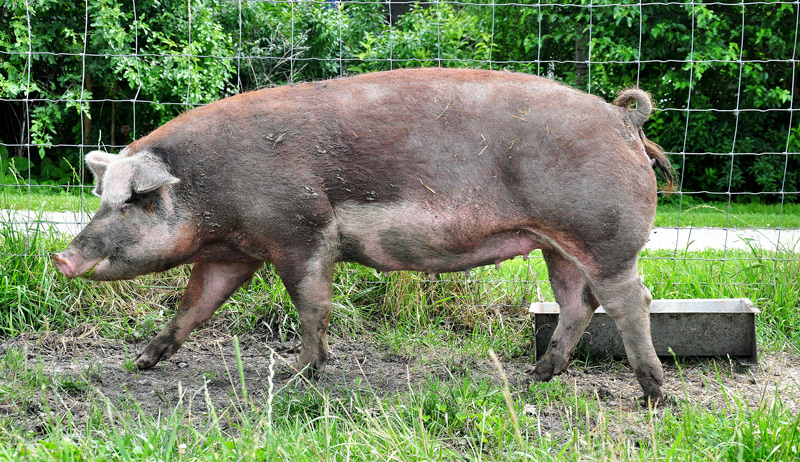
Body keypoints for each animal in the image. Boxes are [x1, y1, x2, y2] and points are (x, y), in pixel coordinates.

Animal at [54, 68, 674, 402]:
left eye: (133, 201)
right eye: (103, 200)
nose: (62, 258)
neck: (211, 197)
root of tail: (625, 120)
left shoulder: (301, 232)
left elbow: (311, 303)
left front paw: (298, 372)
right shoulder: (234, 254)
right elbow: (194, 306)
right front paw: (143, 362)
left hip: (604, 234)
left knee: (630, 300)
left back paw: (652, 395)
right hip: (557, 244)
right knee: (577, 303)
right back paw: (536, 377)